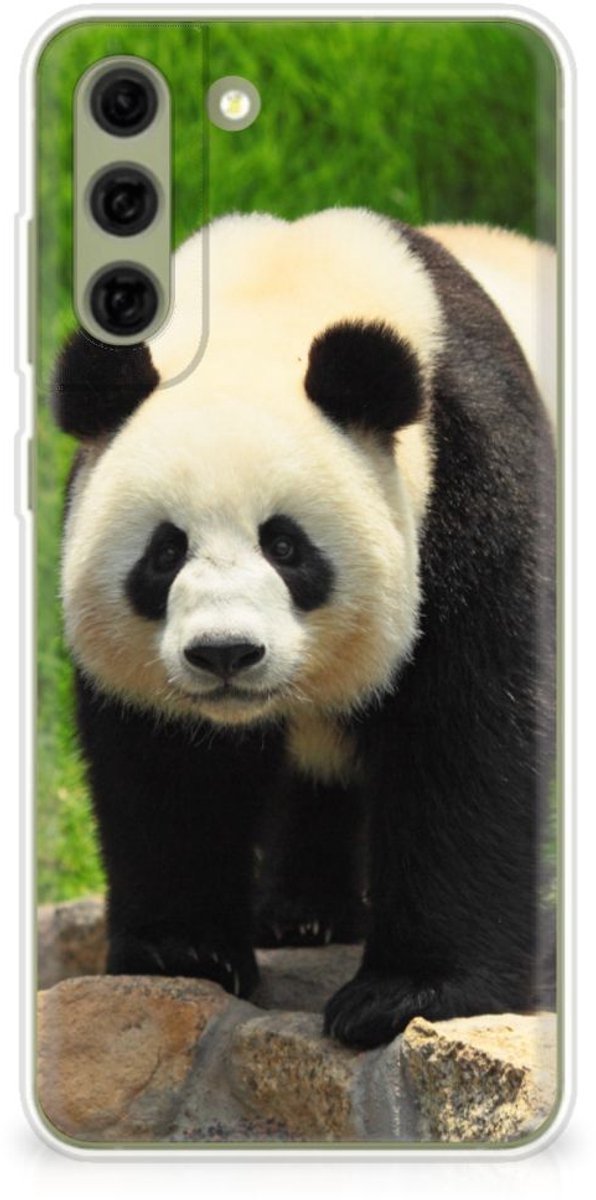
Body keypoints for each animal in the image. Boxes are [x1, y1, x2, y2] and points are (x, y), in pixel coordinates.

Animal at [52, 209, 556, 1049]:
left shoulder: (472, 482)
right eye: (165, 552)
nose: (225, 653)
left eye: (285, 546)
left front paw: (407, 994)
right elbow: (166, 764)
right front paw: (182, 952)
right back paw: (303, 914)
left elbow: (466, 734)